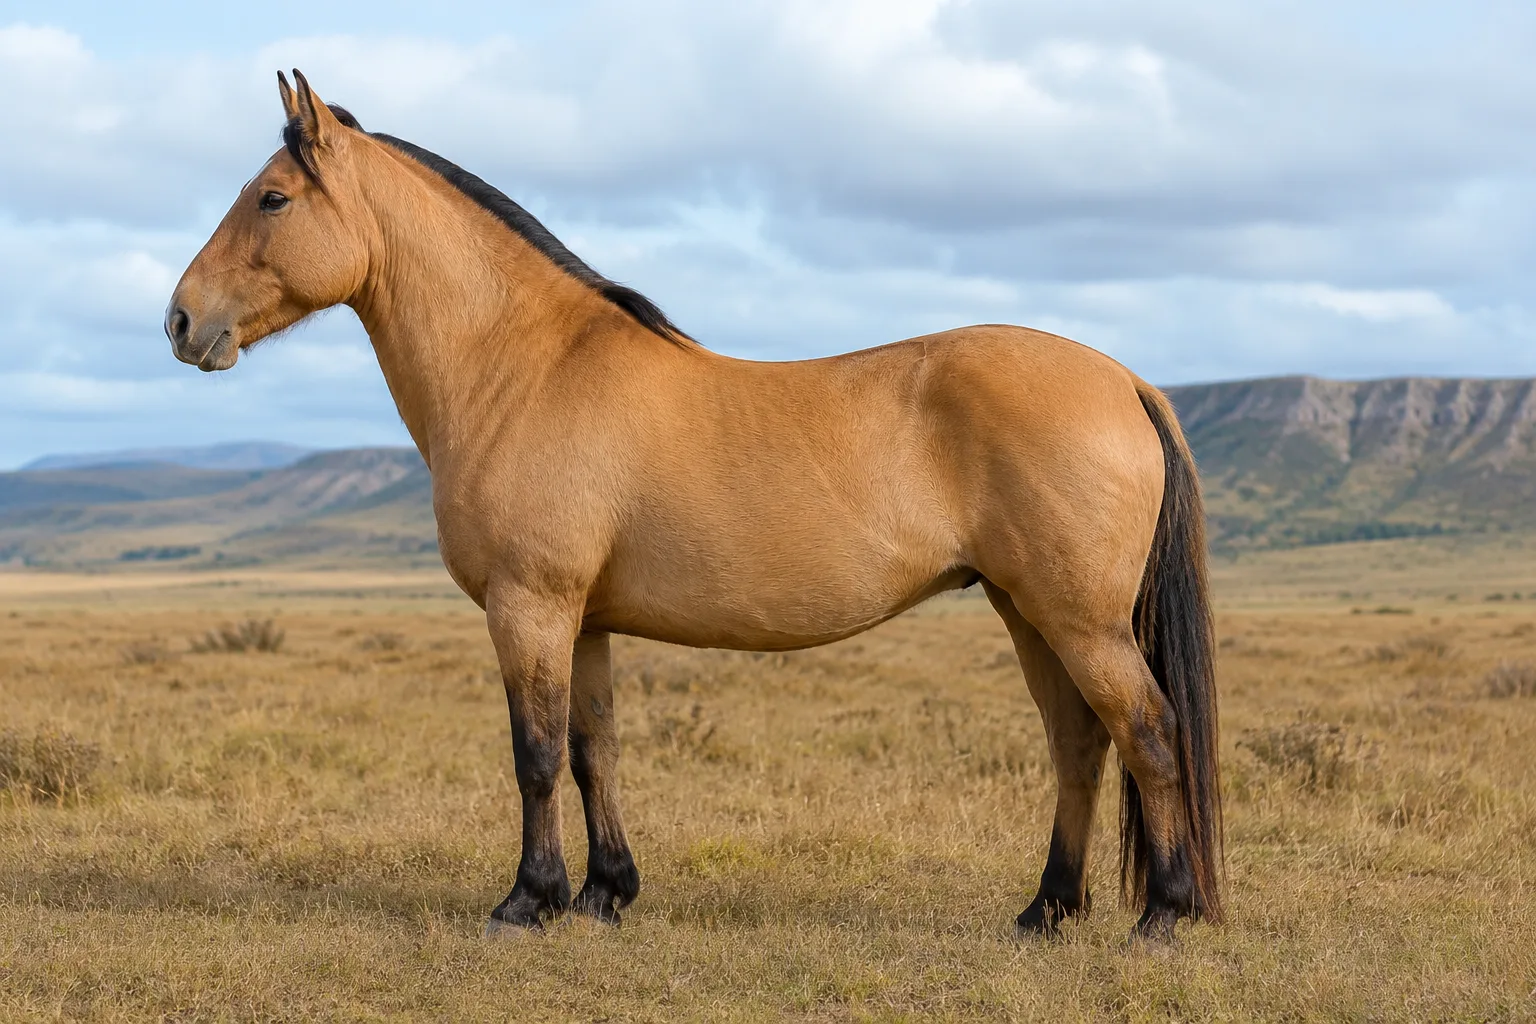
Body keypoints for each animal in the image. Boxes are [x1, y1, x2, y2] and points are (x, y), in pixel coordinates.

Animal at [165, 70, 1222, 942]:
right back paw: (1046, 911)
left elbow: (535, 753)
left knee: (1149, 732)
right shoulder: (582, 620)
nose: (180, 321)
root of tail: (1125, 380)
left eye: (271, 197)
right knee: (1080, 745)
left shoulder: (528, 606)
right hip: (1028, 612)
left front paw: (526, 902)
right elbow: (594, 750)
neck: (525, 367)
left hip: (1077, 620)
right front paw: (603, 894)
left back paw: (1162, 916)